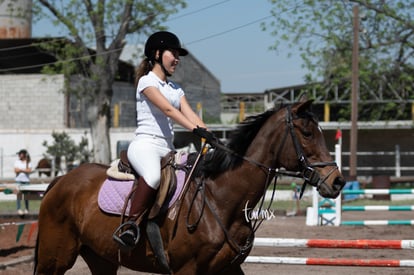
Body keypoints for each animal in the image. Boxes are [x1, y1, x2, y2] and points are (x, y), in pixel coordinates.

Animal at [34, 98, 344, 274]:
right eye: (307, 133)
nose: (337, 181)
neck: (221, 198)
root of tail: (61, 180)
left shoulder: (228, 270)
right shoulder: (187, 269)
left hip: (102, 259)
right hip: (55, 258)